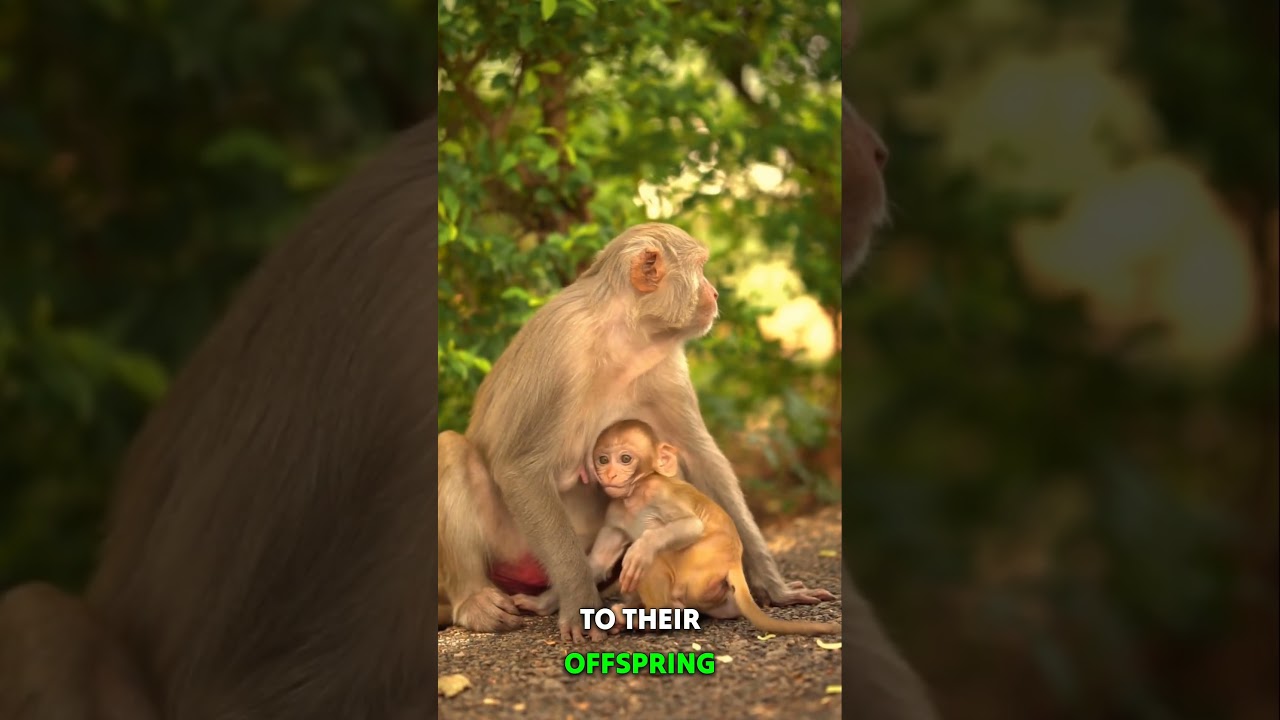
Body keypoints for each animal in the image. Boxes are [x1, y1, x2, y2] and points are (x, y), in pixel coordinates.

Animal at [437, 222, 836, 644]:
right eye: (700, 267)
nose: (713, 293)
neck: (624, 334)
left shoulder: (664, 361)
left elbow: (699, 456)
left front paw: (774, 587)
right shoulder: (563, 346)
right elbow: (518, 467)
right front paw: (581, 607)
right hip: (511, 545)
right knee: (451, 447)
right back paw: (476, 602)